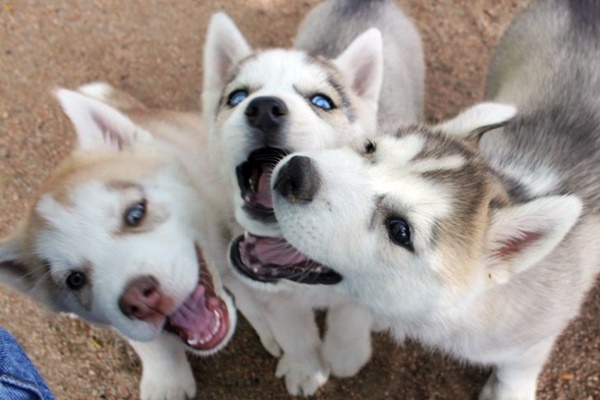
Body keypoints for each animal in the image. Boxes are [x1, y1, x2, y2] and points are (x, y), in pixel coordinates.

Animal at [0, 82, 238, 400]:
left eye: (135, 213)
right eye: (75, 279)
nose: (140, 299)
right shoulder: (120, 319)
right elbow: (151, 345)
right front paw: (167, 382)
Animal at [202, 0, 422, 394]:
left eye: (322, 101)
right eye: (237, 97)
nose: (264, 108)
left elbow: (351, 316)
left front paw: (345, 355)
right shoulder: (272, 291)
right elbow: (293, 332)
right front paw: (305, 367)